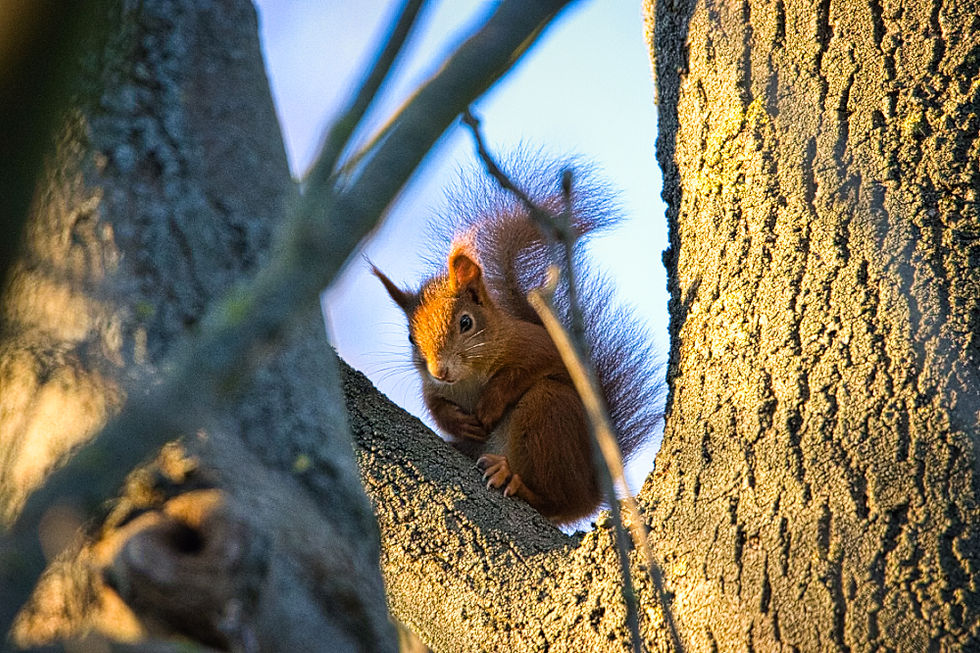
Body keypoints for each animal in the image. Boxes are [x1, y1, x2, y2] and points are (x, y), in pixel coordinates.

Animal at [372, 157, 662, 524]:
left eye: (466, 322)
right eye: (410, 337)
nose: (440, 370)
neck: (468, 378)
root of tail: (591, 492)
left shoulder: (538, 345)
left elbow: (519, 374)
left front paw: (489, 404)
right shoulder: (432, 388)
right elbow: (436, 407)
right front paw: (458, 421)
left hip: (548, 412)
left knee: (555, 500)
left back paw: (512, 478)